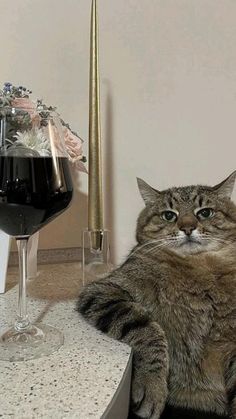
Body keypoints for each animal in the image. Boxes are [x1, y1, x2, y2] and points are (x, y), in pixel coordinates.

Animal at [77, 171, 236, 419]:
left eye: (205, 212)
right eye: (169, 215)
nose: (187, 228)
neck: (197, 267)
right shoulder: (103, 291)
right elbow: (149, 330)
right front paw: (151, 386)